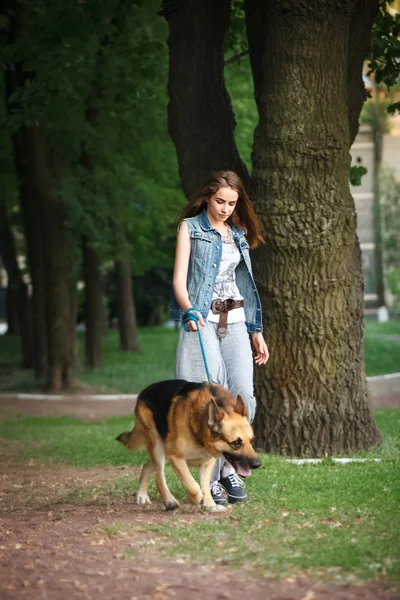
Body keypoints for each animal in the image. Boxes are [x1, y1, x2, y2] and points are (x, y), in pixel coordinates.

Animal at [115, 382, 260, 512]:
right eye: (236, 442)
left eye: (252, 440)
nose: (257, 464)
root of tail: (143, 392)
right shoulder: (176, 457)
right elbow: (194, 485)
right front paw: (195, 498)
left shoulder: (207, 463)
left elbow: (205, 486)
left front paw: (210, 505)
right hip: (158, 447)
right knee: (159, 477)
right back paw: (169, 501)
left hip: (163, 451)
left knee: (147, 467)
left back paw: (142, 495)